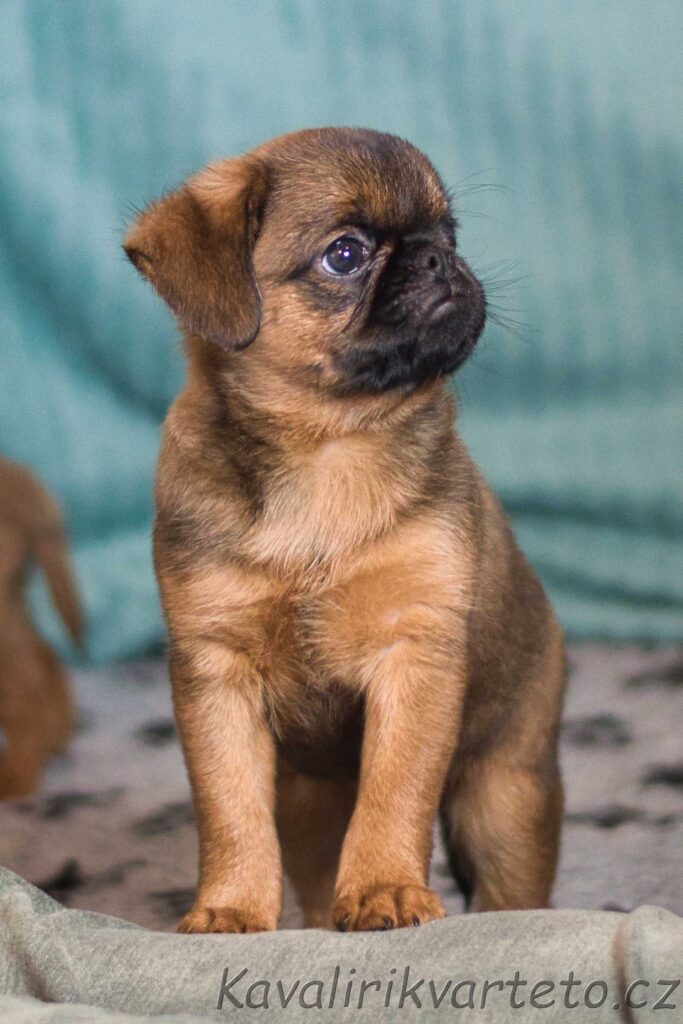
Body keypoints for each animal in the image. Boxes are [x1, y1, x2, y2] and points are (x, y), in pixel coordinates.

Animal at [124, 127, 566, 933]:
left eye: (450, 235)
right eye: (346, 254)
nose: (437, 258)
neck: (328, 450)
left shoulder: (413, 654)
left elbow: (394, 791)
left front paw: (386, 887)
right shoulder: (215, 676)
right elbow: (228, 809)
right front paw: (230, 907)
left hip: (504, 796)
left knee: (507, 882)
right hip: (309, 806)